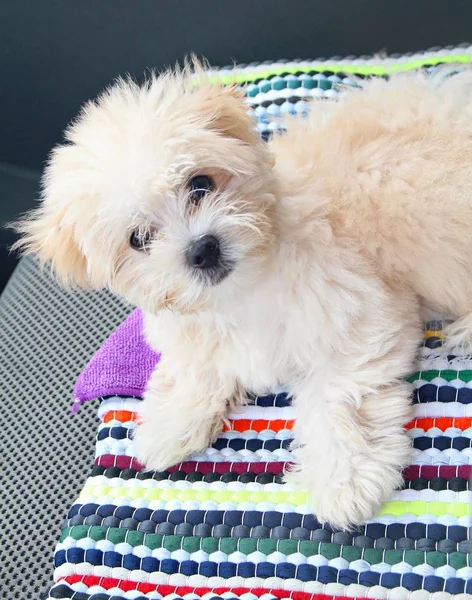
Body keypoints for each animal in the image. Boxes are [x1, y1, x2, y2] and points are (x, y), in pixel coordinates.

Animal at [14, 63, 472, 528]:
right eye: (137, 239)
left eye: (200, 183)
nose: (202, 248)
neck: (244, 287)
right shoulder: (197, 329)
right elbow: (197, 368)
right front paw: (169, 423)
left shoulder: (357, 311)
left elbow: (339, 395)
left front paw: (345, 479)